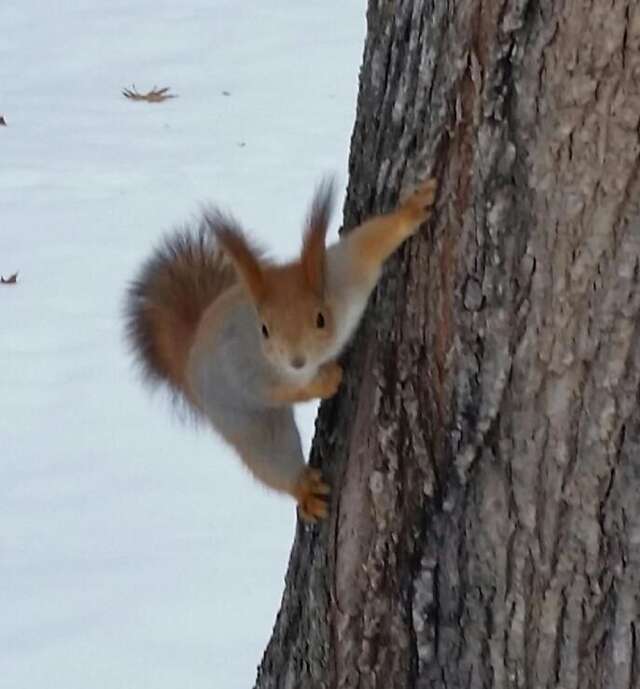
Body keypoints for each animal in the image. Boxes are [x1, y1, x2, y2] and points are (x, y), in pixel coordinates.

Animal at [124, 175, 436, 520]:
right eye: (264, 330)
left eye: (320, 319)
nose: (297, 361)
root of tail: (190, 353)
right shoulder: (248, 368)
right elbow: (280, 390)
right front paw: (324, 381)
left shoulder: (345, 276)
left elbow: (369, 243)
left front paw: (412, 210)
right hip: (247, 423)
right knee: (271, 459)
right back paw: (303, 488)